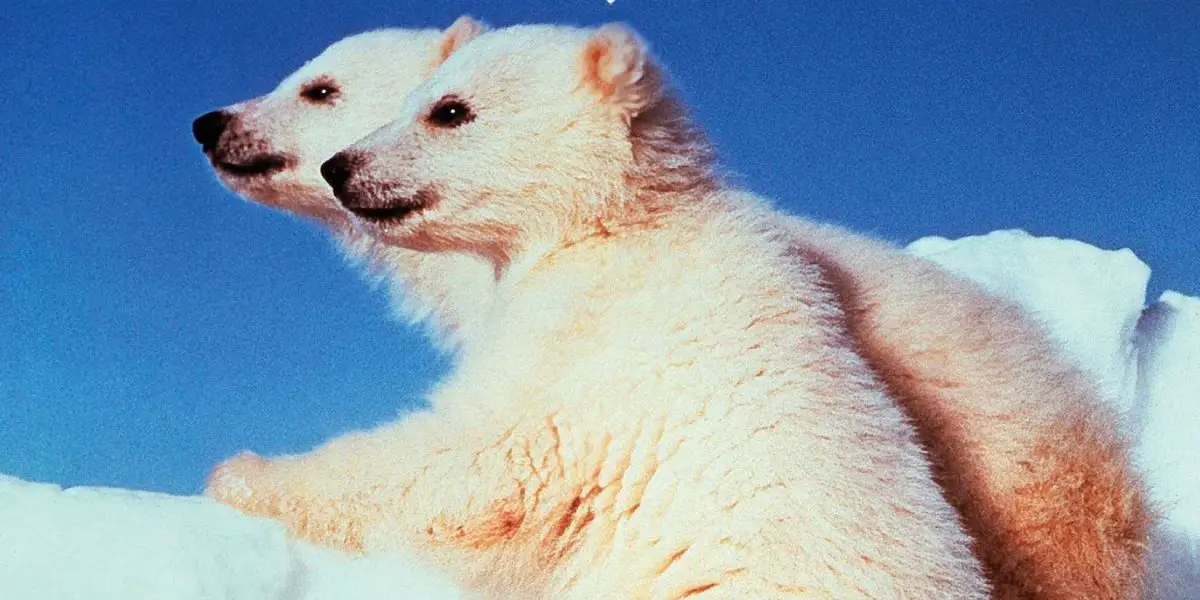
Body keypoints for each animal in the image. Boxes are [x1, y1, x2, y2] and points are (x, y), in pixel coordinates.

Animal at [197, 18, 1151, 599]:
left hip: (1031, 496)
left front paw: (238, 475)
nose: (212, 122)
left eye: (319, 88)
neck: (614, 227)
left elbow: (477, 466)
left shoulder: (587, 354)